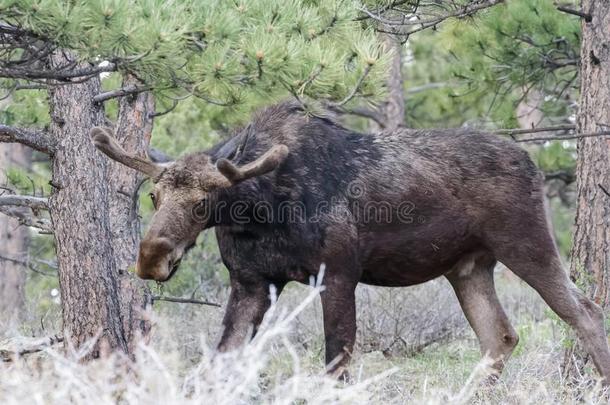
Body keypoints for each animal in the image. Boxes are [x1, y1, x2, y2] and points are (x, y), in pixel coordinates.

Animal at [90, 102, 608, 382]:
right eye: (154, 195)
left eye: (204, 203)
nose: (150, 258)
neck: (260, 211)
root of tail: (532, 162)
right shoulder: (252, 282)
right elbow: (221, 362)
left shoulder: (337, 273)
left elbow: (335, 363)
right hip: (467, 266)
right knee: (500, 335)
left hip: (525, 242)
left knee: (585, 311)